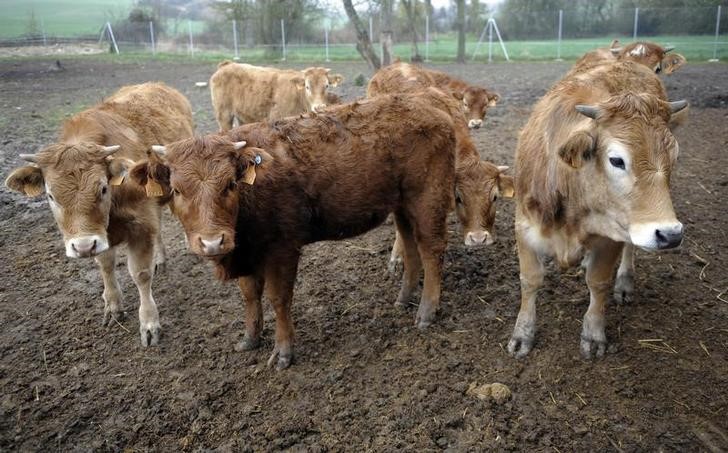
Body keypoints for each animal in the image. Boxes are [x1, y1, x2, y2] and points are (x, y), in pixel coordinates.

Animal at [130, 94, 458, 368]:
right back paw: (403, 299)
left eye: (230, 184)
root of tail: (432, 107)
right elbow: (250, 295)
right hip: (402, 204)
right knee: (411, 246)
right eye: (177, 190)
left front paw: (283, 352)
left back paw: (426, 312)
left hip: (428, 198)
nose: (212, 242)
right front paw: (250, 339)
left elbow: (278, 298)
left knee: (432, 249)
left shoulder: (282, 250)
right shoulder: (246, 250)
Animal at [210, 61, 344, 131]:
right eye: (307, 87)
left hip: (243, 116)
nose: (319, 107)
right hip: (224, 115)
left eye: (327, 85)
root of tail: (227, 64)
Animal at [506, 60, 688, 358]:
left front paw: (593, 333)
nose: (671, 234)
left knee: (630, 248)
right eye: (616, 160)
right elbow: (530, 280)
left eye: (674, 158)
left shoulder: (611, 234)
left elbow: (599, 282)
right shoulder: (525, 225)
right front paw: (523, 333)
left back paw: (624, 281)